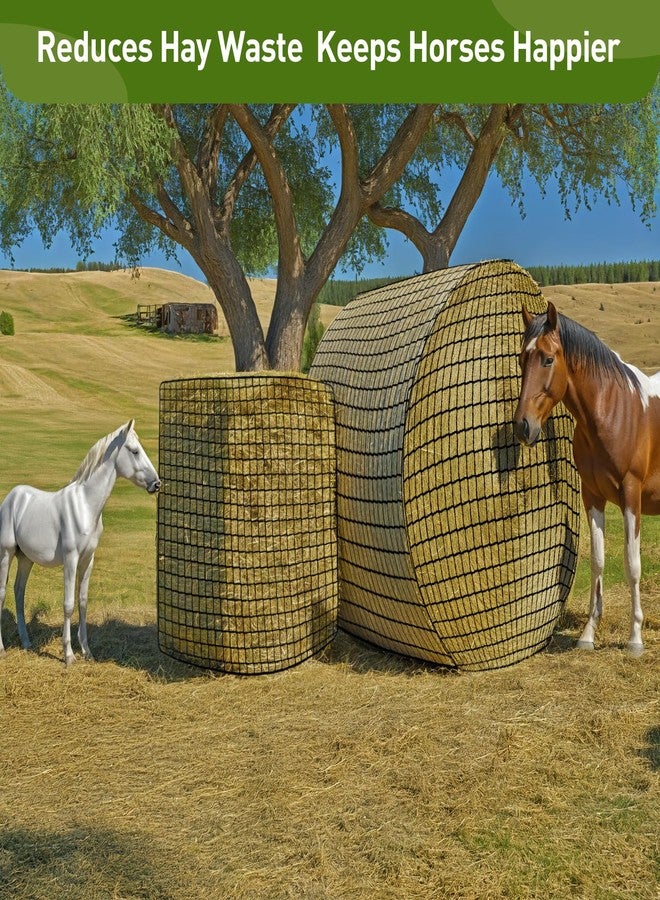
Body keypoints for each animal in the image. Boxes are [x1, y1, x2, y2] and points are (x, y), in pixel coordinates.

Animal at [0, 420, 160, 665]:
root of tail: (13, 497)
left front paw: (87, 651)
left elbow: (82, 602)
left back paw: (26, 643)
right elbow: (68, 604)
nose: (157, 484)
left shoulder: (87, 559)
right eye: (134, 451)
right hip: (6, 553)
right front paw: (68, 655)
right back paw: (1, 648)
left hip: (25, 558)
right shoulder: (71, 559)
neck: (85, 506)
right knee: (2, 593)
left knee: (19, 592)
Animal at [513, 301, 660, 654]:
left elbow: (632, 564)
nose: (523, 426)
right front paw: (588, 633)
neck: (613, 411)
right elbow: (597, 561)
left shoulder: (631, 496)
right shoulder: (592, 496)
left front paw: (635, 638)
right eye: (521, 358)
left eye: (548, 359)